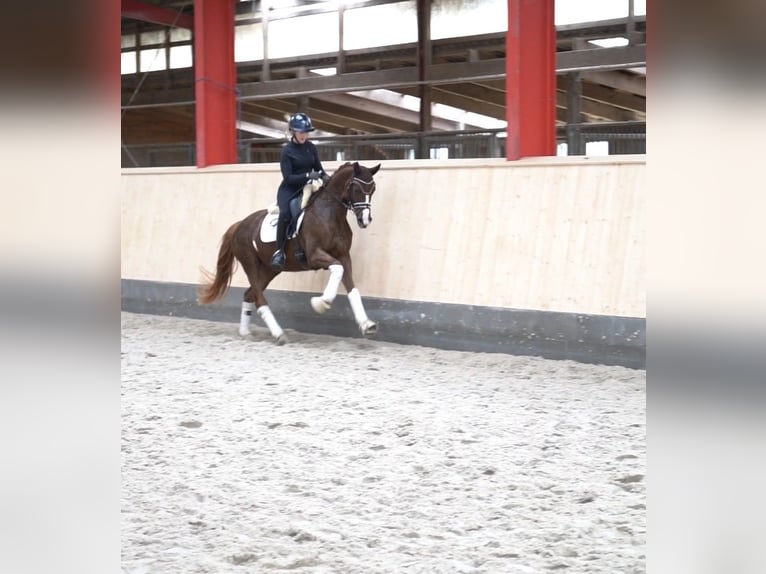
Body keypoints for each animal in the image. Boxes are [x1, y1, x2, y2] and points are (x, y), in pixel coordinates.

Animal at [195, 160, 380, 344]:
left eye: (373, 190)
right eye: (357, 189)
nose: (365, 220)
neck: (330, 214)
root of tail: (239, 225)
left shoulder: (344, 255)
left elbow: (351, 287)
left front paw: (366, 324)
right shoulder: (314, 256)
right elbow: (337, 268)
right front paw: (321, 303)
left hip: (270, 269)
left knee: (249, 294)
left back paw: (245, 332)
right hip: (250, 264)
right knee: (259, 298)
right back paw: (278, 333)